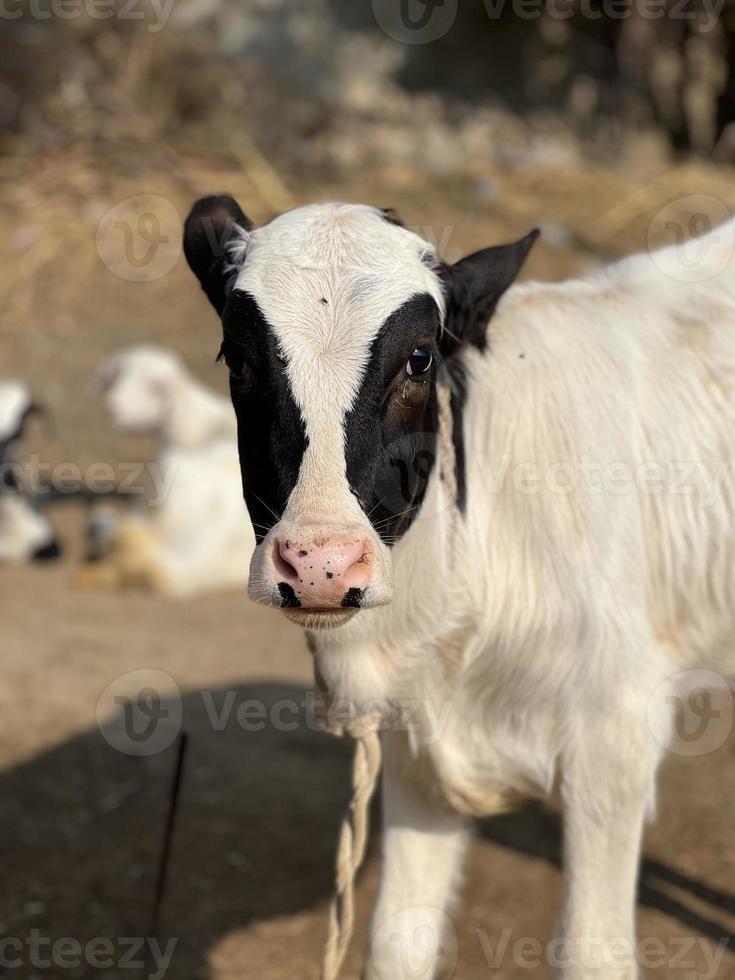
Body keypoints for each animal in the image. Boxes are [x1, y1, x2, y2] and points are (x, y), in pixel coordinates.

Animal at [183, 199, 735, 980]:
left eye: (420, 358)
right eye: (238, 358)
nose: (320, 565)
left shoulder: (616, 734)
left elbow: (592, 950)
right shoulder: (417, 746)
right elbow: (396, 942)